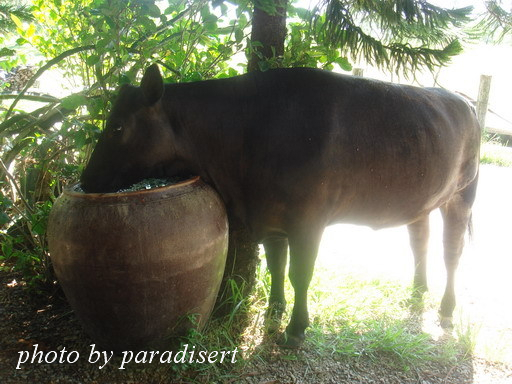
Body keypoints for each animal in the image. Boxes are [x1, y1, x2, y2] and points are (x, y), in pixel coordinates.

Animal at [83, 65, 480, 348]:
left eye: (116, 127)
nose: (86, 180)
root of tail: (464, 100)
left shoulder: (308, 220)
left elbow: (299, 273)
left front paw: (295, 329)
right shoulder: (269, 216)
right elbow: (276, 264)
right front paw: (275, 309)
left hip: (463, 193)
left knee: (452, 251)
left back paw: (446, 309)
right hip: (424, 196)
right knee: (420, 238)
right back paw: (418, 289)